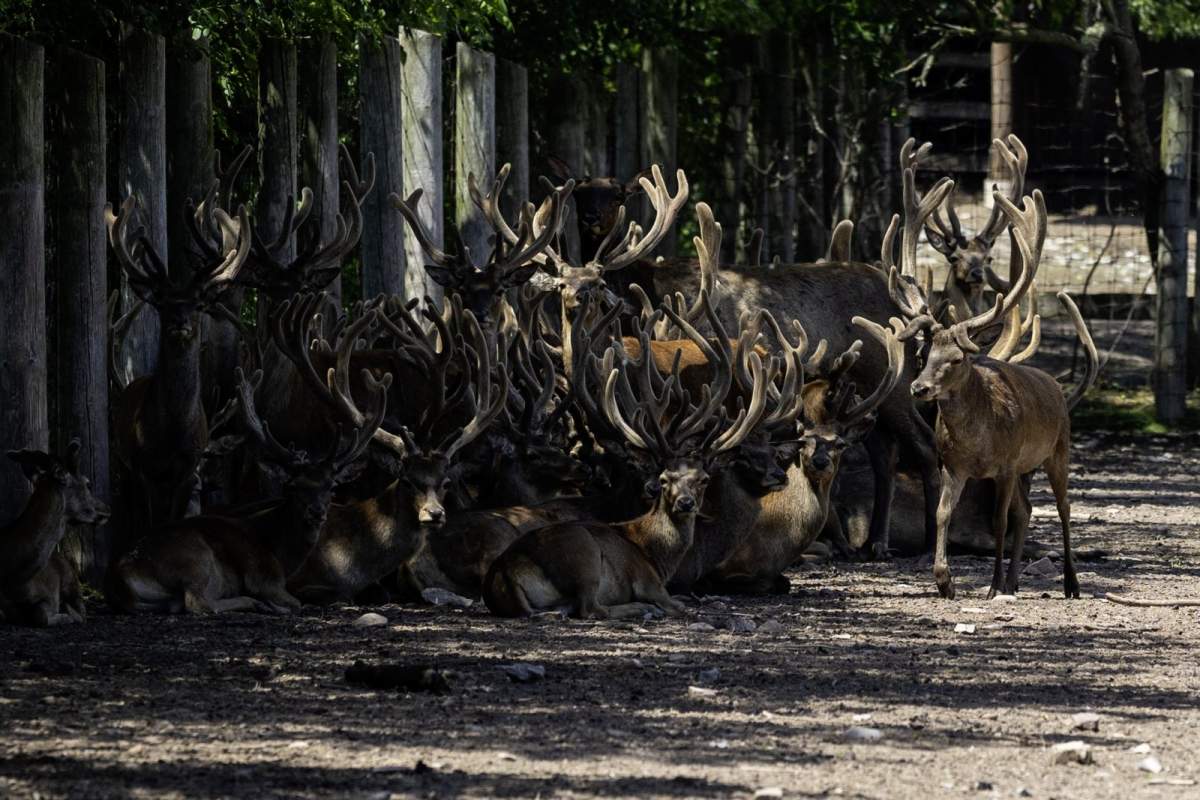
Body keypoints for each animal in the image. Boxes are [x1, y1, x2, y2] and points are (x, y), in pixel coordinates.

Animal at [0, 441, 110, 626]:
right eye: (88, 483)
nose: (106, 509)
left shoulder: (49, 595)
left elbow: (41, 614)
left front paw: (64, 615)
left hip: (72, 581)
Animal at [105, 310, 393, 615]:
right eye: (293, 486)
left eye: (332, 487)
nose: (316, 512)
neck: (281, 553)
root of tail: (120, 579)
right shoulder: (265, 576)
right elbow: (296, 600)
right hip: (195, 559)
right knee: (198, 602)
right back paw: (255, 603)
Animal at [107, 171, 253, 527]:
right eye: (162, 303)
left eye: (198, 303)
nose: (179, 322)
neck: (171, 435)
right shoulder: (144, 467)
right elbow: (151, 524)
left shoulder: (188, 469)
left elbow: (174, 522)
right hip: (124, 464)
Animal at [892, 184, 1098, 600]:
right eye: (923, 353)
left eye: (957, 358)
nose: (919, 387)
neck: (977, 443)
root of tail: (1055, 385)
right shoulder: (954, 466)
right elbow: (942, 513)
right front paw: (945, 580)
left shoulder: (1005, 465)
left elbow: (1001, 522)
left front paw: (991, 586)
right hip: (1025, 468)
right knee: (1027, 510)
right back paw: (1016, 581)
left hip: (1057, 451)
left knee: (1063, 508)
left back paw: (1070, 582)